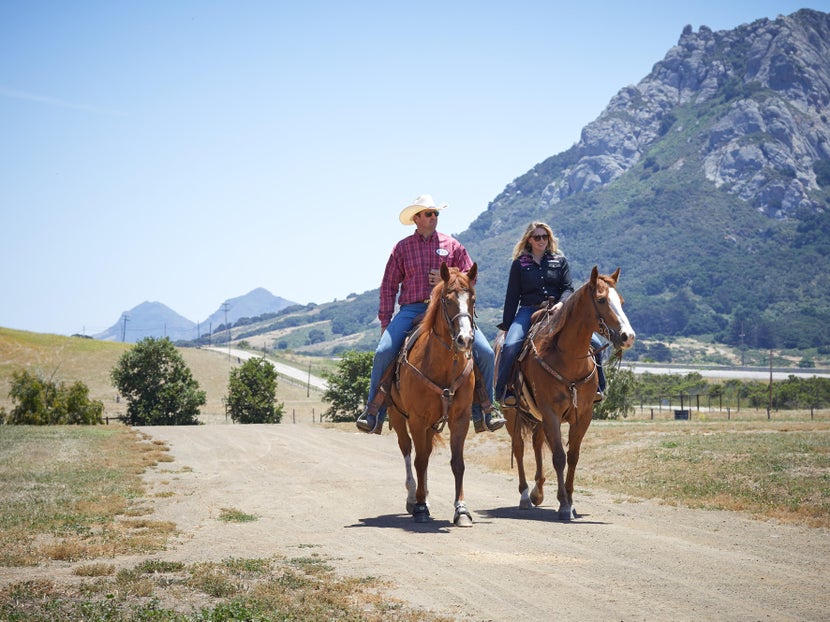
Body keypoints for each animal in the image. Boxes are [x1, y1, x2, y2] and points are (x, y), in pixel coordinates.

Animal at [390, 262, 480, 528]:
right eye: (447, 300)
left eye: (472, 299)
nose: (465, 339)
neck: (444, 365)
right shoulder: (417, 419)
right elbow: (419, 461)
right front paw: (419, 507)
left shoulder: (460, 418)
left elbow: (457, 463)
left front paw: (461, 510)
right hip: (398, 417)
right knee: (408, 450)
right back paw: (414, 497)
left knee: (426, 453)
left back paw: (425, 496)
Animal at [500, 266, 636, 520]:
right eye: (601, 300)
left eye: (621, 301)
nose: (627, 336)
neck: (567, 359)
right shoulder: (551, 413)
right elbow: (559, 457)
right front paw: (563, 505)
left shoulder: (582, 415)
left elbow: (572, 456)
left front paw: (571, 502)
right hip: (512, 414)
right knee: (519, 448)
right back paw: (525, 496)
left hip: (538, 418)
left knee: (536, 444)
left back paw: (538, 492)